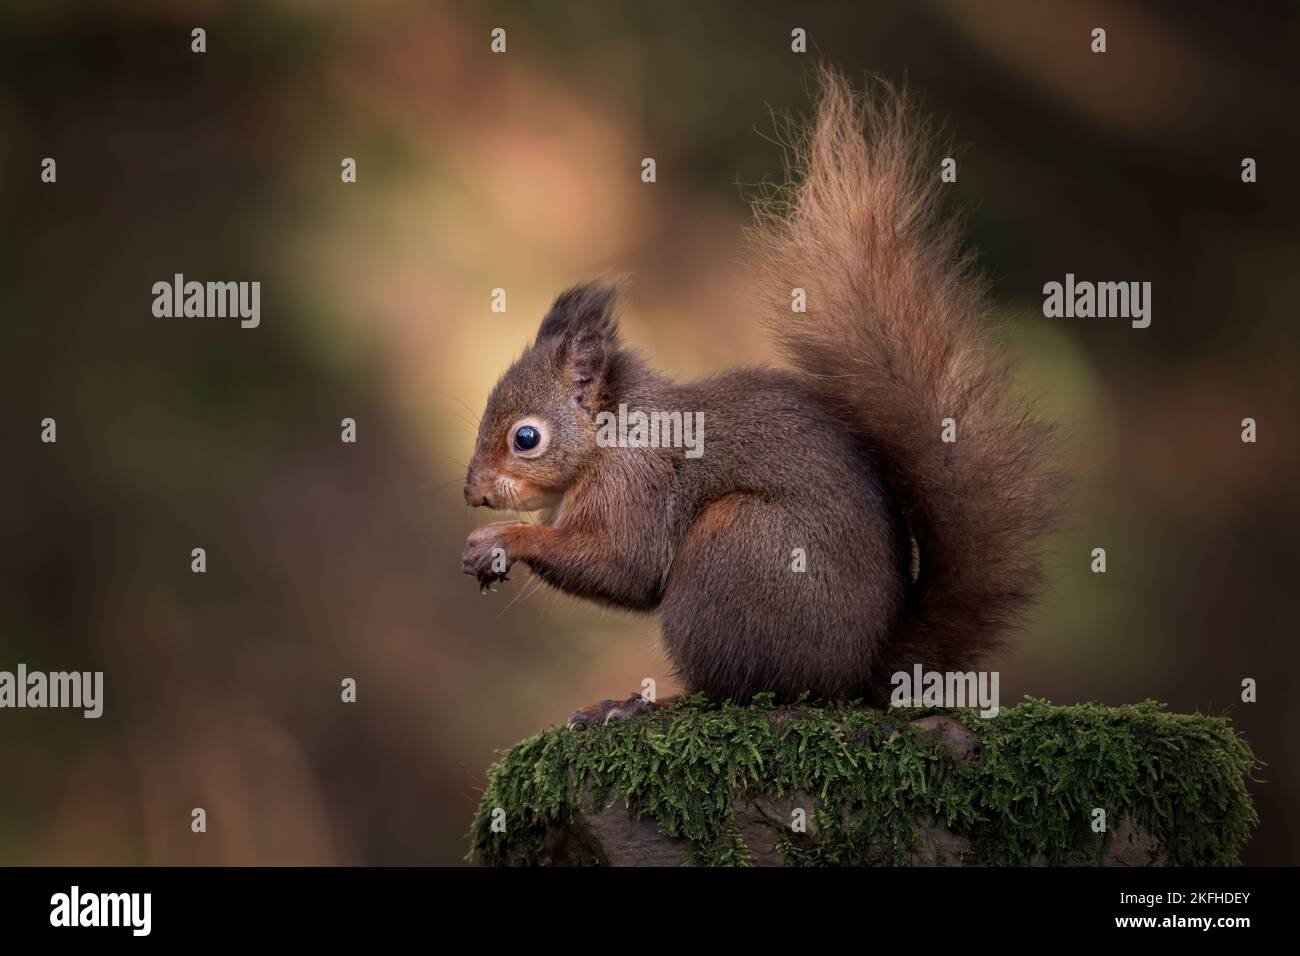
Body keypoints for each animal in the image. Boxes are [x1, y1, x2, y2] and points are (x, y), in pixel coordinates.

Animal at [462, 69, 1060, 723]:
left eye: (526, 437)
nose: (473, 493)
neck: (612, 432)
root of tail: (856, 676)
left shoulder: (638, 483)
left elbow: (622, 564)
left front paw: (500, 540)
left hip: (739, 547)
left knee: (734, 689)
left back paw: (643, 704)